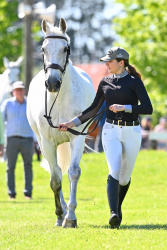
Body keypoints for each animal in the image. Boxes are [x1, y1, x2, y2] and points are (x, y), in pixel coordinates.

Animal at [26, 18, 96, 228]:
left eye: (66, 48)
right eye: (43, 49)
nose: (52, 83)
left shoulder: (77, 139)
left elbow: (73, 172)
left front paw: (71, 217)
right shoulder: (47, 143)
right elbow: (55, 179)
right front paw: (59, 214)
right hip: (43, 143)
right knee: (55, 170)